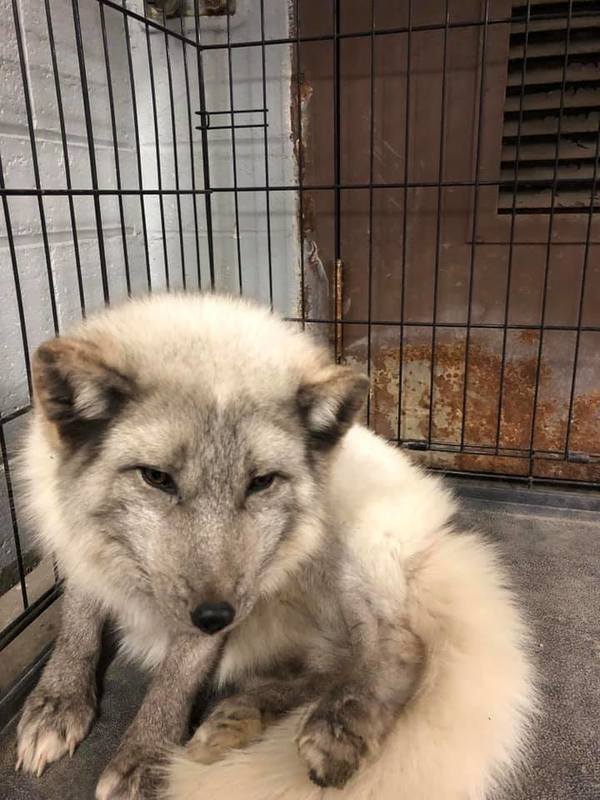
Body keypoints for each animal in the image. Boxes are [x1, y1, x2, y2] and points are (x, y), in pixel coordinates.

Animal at [15, 294, 536, 800]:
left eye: (262, 482)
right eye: (157, 478)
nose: (215, 616)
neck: (126, 568)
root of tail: (439, 533)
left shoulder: (223, 603)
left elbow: (176, 676)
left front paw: (147, 757)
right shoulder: (76, 542)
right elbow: (77, 624)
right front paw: (58, 702)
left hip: (340, 543)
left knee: (397, 648)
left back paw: (335, 727)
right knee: (331, 665)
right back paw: (241, 716)